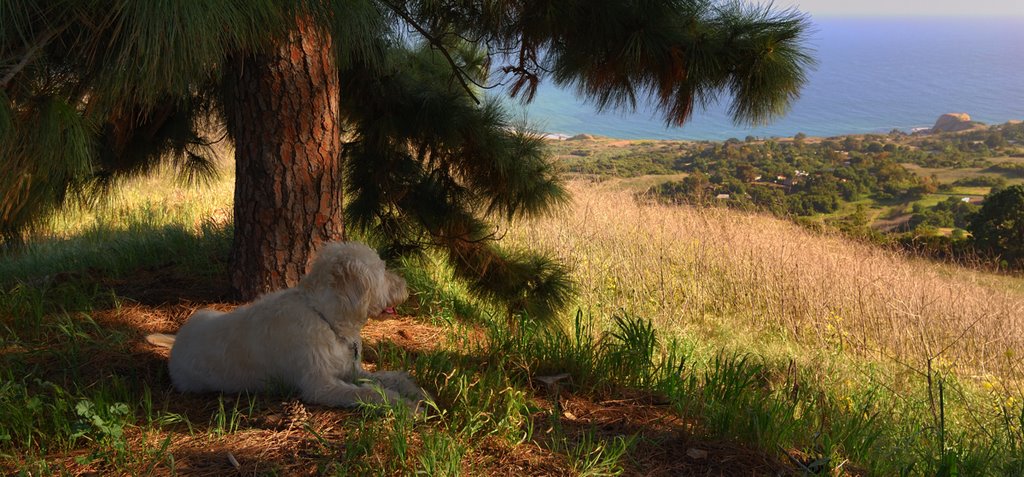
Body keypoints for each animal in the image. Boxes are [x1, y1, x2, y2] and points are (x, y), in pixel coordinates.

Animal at [146, 242, 425, 409]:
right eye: (382, 270)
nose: (406, 287)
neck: (325, 317)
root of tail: (177, 340)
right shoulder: (321, 386)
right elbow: (368, 393)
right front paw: (406, 406)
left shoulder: (351, 370)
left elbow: (392, 377)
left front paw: (419, 393)